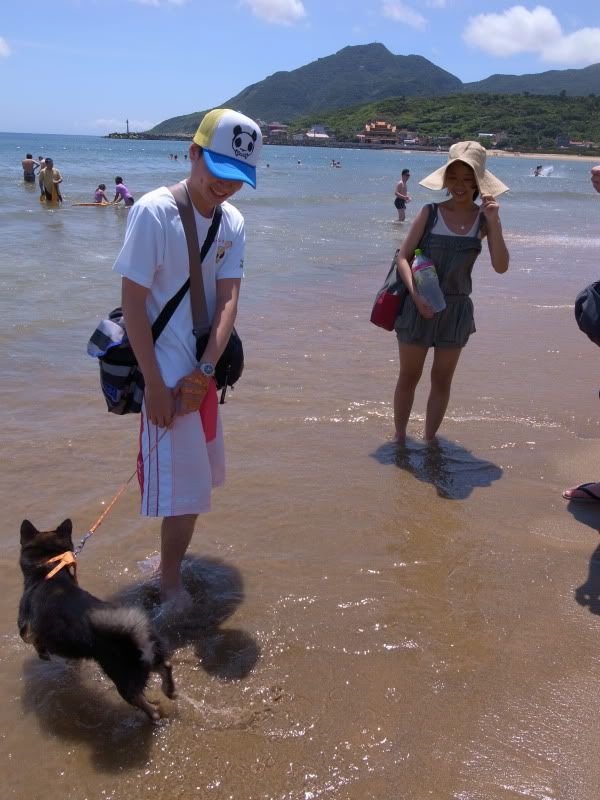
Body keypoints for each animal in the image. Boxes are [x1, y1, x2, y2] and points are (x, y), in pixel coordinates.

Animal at [18, 518, 175, 722]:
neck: (49, 571)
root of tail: (137, 636)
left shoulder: (26, 627)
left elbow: (34, 641)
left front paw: (43, 654)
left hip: (123, 677)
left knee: (147, 707)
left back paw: (154, 711)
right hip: (147, 659)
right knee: (166, 665)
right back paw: (169, 690)